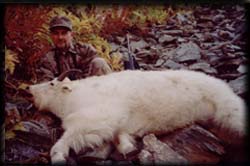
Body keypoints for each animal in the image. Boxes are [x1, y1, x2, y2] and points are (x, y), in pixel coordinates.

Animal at [26, 68, 244, 163]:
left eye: (51, 83)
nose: (29, 89)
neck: (74, 96)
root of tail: (223, 85)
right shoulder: (121, 126)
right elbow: (121, 138)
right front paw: (129, 149)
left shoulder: (98, 116)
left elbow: (71, 135)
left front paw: (58, 155)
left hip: (227, 110)